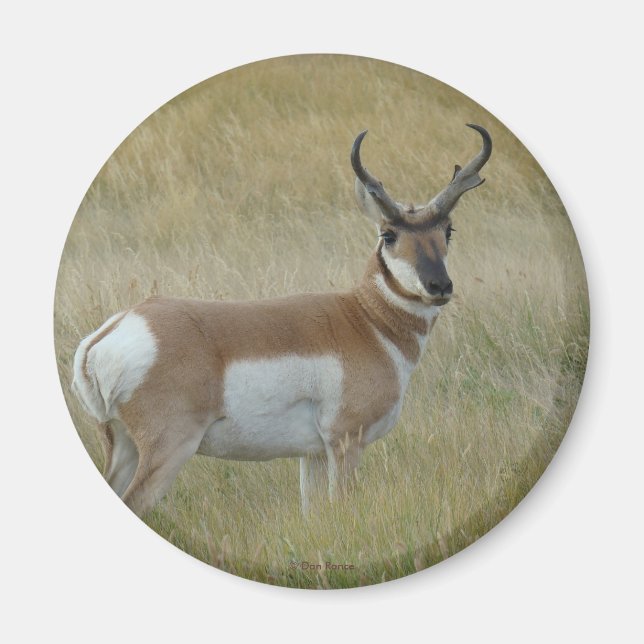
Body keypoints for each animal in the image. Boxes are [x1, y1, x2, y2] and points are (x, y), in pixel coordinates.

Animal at [72, 124, 492, 517]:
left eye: (448, 229)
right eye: (388, 234)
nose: (439, 285)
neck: (366, 321)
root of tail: (113, 331)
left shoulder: (313, 454)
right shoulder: (345, 441)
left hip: (124, 446)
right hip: (170, 450)